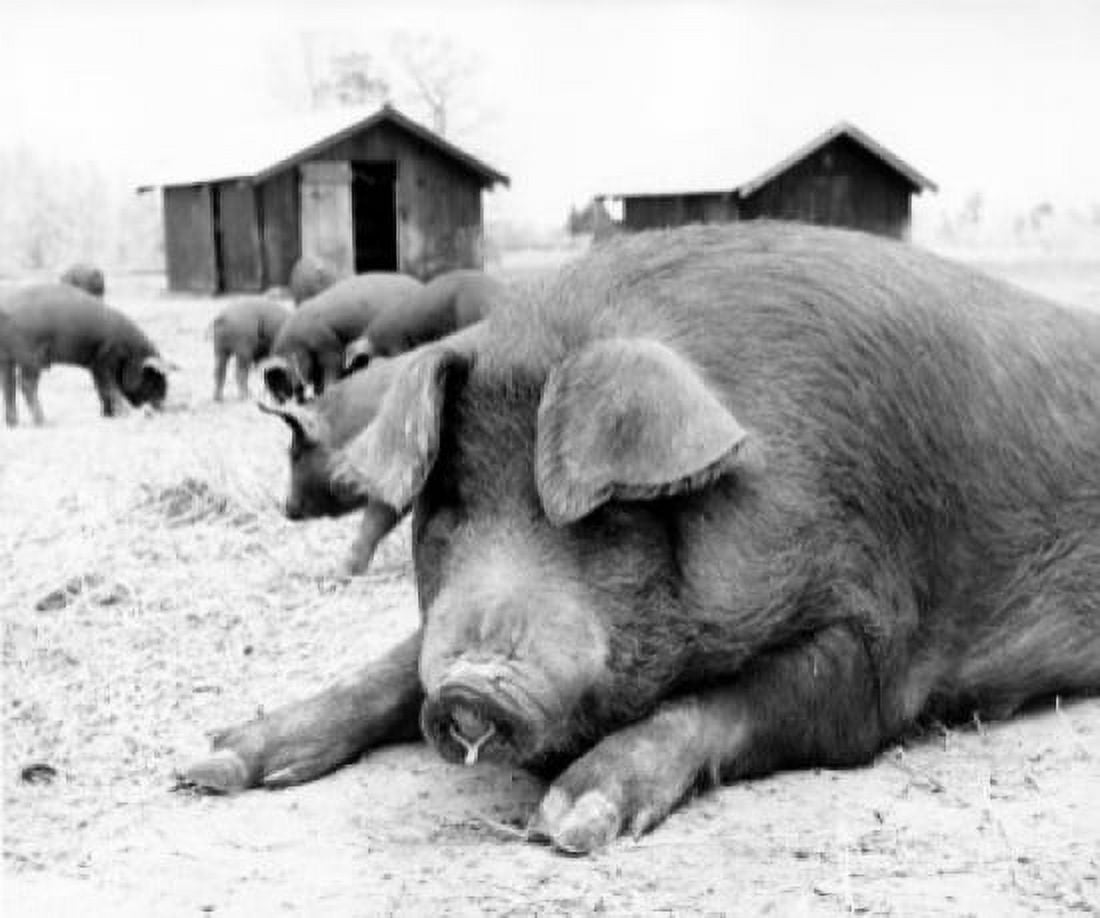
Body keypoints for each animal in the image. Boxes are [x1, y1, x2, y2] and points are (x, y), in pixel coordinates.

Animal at [1, 283, 170, 425]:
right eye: (152, 378)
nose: (162, 408)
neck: (132, 353)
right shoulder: (106, 358)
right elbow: (110, 387)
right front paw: (123, 414)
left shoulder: (94, 365)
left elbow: (100, 388)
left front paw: (107, 416)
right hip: (30, 357)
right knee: (26, 385)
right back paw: (43, 421)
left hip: (7, 358)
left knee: (8, 385)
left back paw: (13, 423)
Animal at [264, 272, 422, 402]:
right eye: (270, 383)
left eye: (281, 377)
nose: (279, 400)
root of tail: (418, 284)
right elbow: (318, 379)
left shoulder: (328, 347)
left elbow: (331, 369)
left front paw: (327, 391)